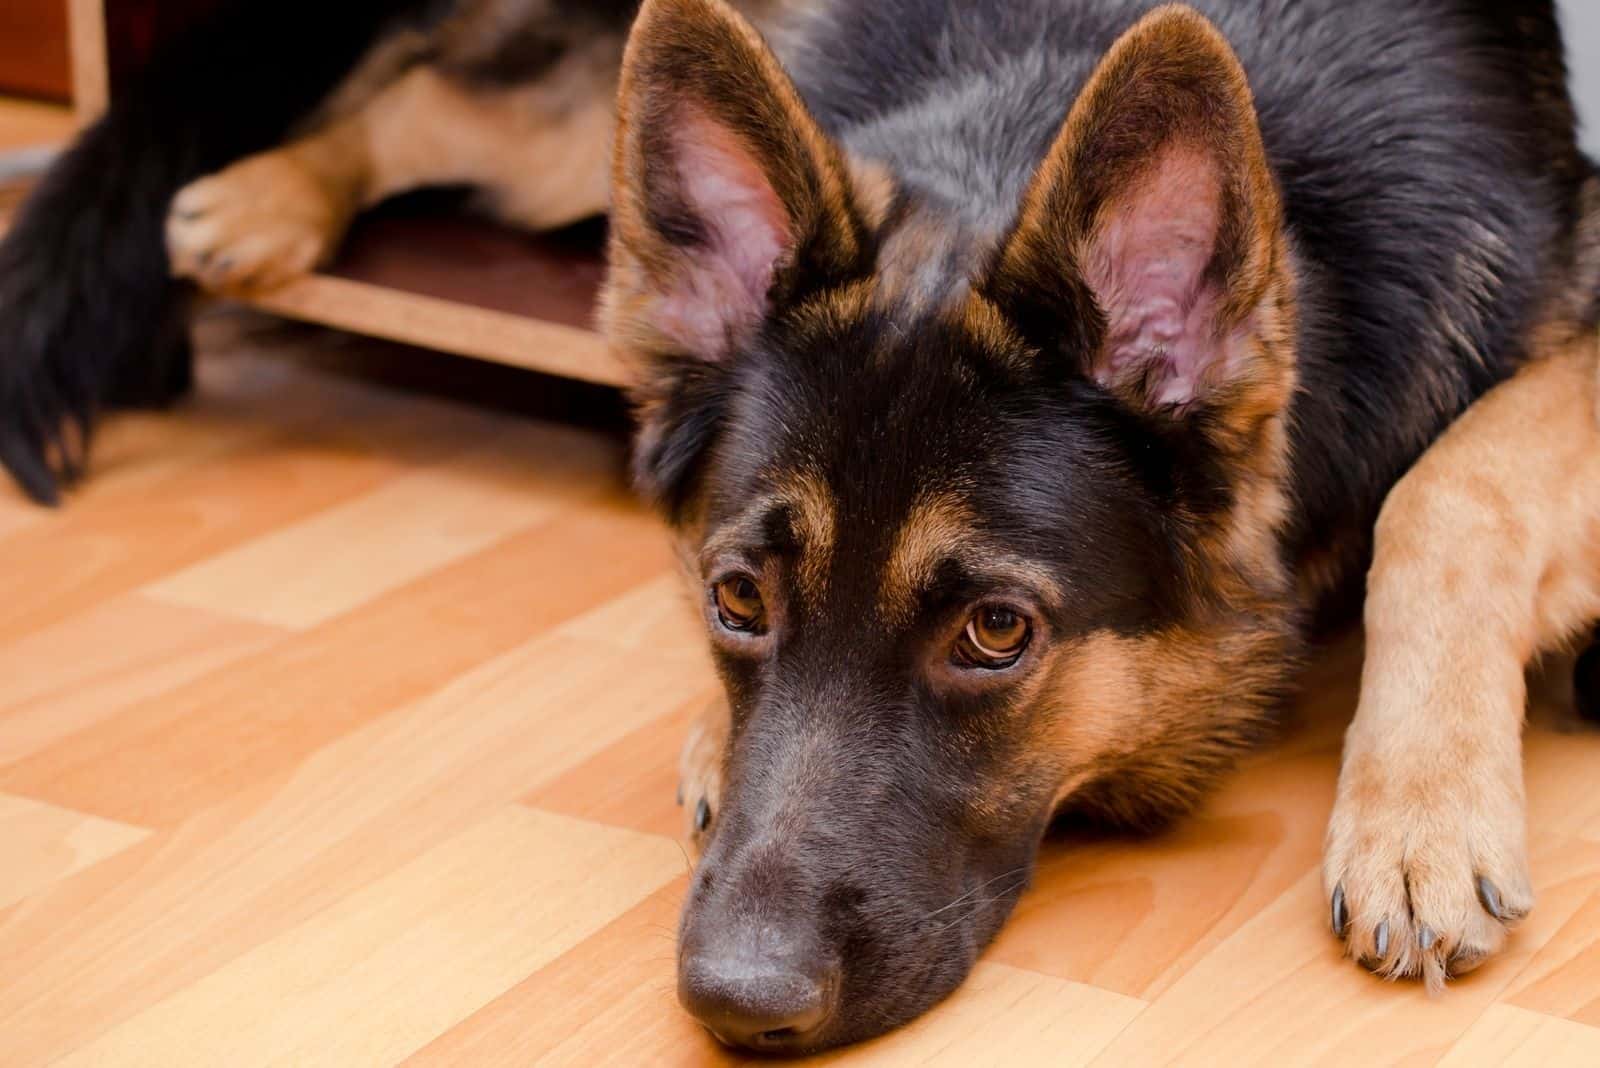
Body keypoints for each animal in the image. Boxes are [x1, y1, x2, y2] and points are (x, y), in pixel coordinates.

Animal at [3, 0, 1600, 1055]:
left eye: (997, 632)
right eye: (738, 601)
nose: (732, 1004)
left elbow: (1445, 490)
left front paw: (1419, 812)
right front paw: (715, 743)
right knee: (433, 99)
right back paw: (256, 199)